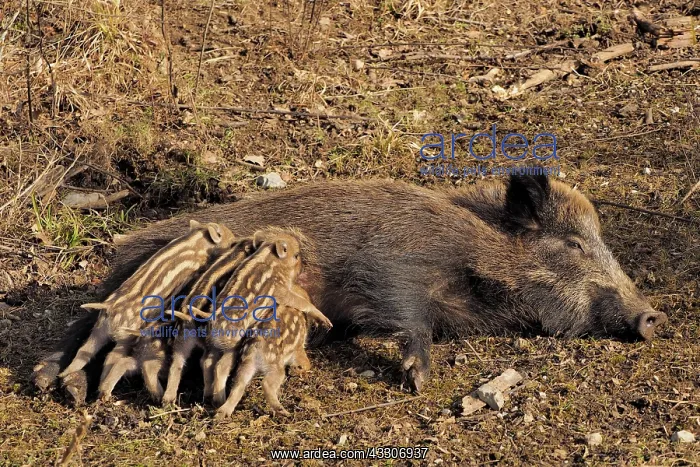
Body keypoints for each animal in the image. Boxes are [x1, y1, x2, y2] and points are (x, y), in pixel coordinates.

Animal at [34, 175, 667, 395]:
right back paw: (54, 384)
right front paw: (417, 381)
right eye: (573, 245)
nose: (652, 316)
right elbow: (408, 320)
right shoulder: (392, 270)